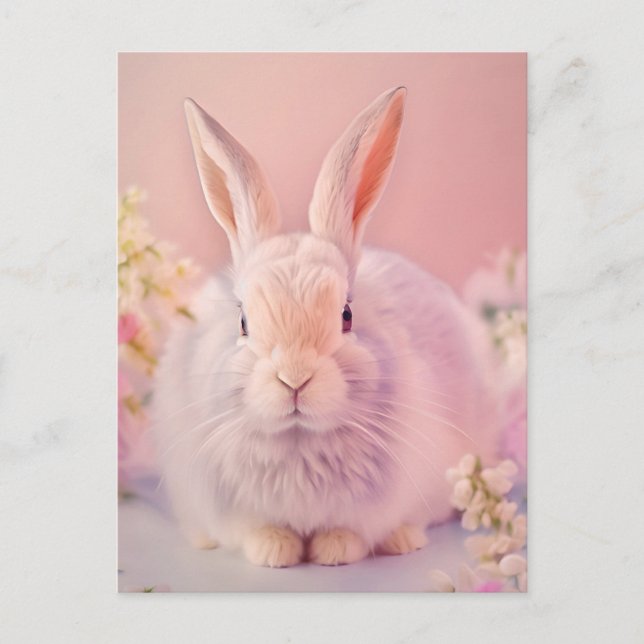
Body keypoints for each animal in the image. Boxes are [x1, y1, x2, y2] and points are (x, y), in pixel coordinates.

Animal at [151, 87, 501, 568]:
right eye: (242, 321)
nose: (295, 379)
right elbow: (257, 530)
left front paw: (335, 551)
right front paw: (274, 552)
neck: (299, 441)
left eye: (346, 315)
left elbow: (350, 532)